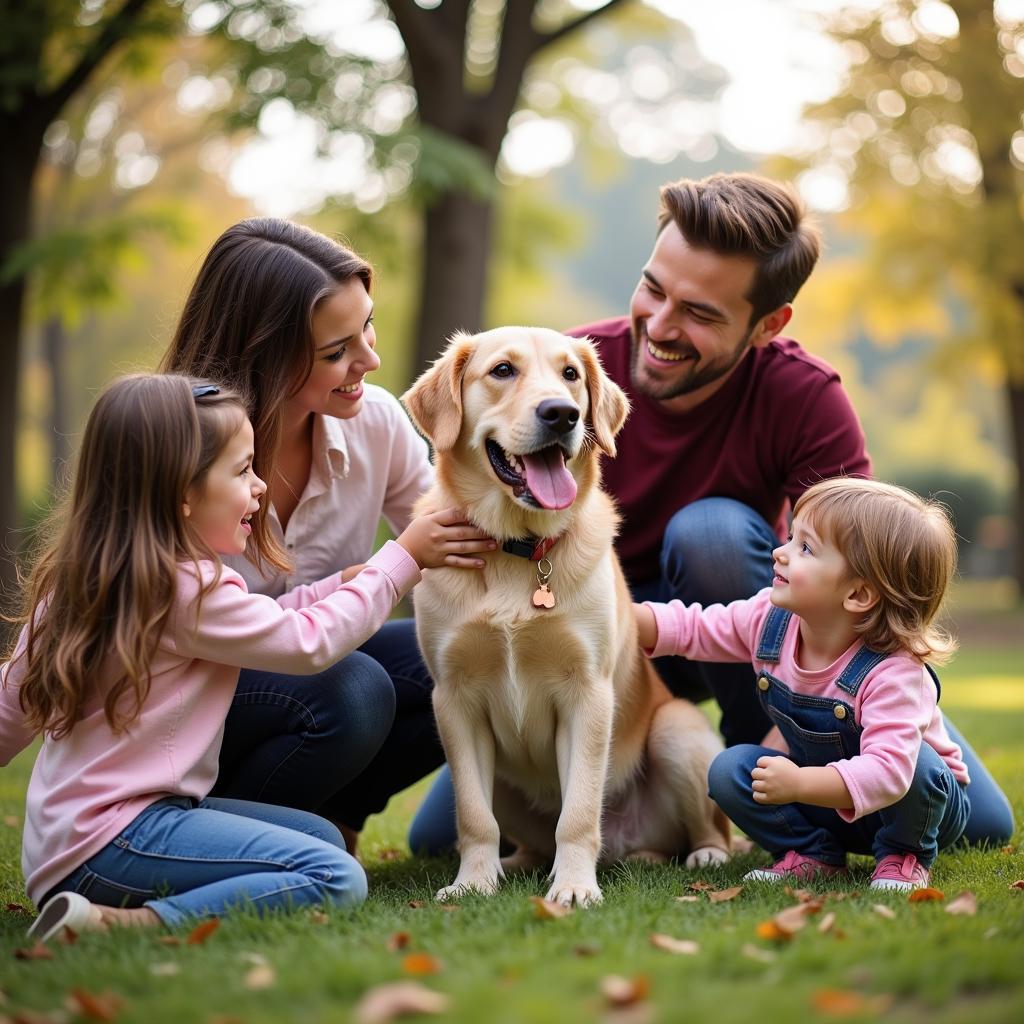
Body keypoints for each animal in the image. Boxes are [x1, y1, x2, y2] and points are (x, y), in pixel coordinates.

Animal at [399, 325, 729, 905]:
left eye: (570, 374)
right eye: (502, 370)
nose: (561, 414)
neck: (519, 549)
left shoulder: (588, 692)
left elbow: (577, 812)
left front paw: (575, 887)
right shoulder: (454, 699)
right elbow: (473, 816)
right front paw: (472, 883)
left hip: (678, 729)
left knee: (705, 831)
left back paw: (704, 855)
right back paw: (515, 863)